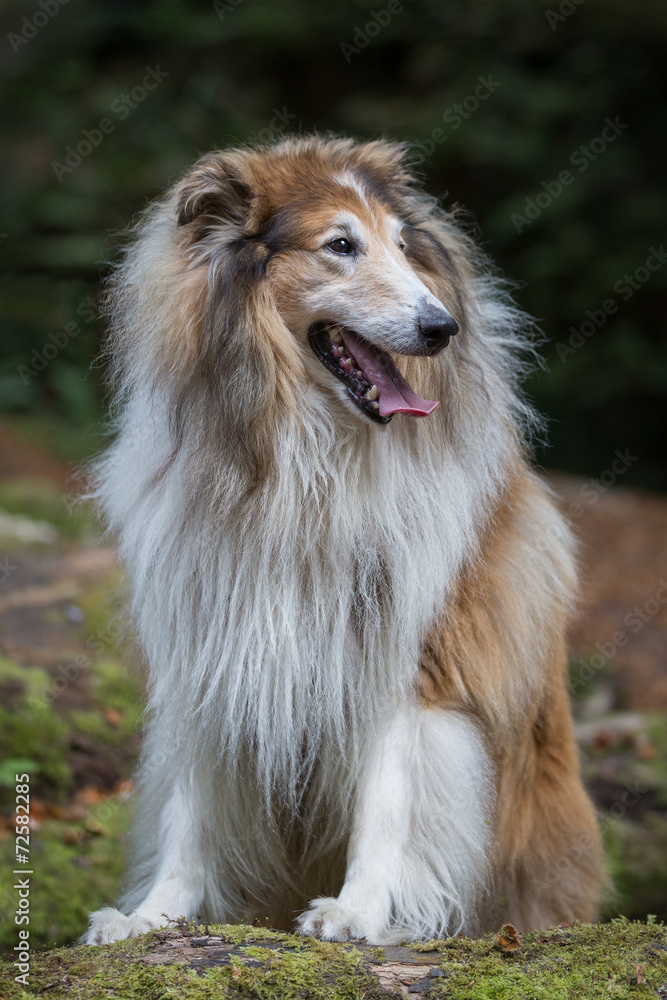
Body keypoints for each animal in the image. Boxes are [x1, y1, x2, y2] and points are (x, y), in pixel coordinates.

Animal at [83, 135, 604, 944]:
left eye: (402, 246)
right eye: (340, 246)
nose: (442, 328)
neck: (304, 457)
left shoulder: (409, 650)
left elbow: (387, 798)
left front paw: (359, 910)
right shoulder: (211, 642)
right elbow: (191, 809)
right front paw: (152, 916)